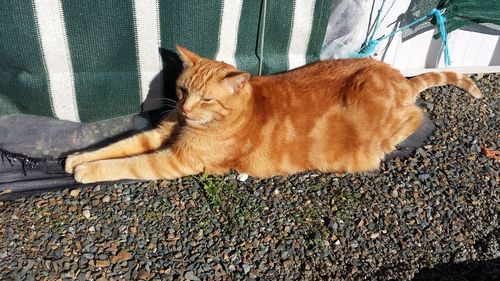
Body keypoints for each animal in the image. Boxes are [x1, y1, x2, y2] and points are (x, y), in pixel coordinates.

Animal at [64, 44, 482, 183]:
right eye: (182, 91)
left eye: (207, 100)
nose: (184, 107)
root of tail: (397, 76)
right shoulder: (158, 135)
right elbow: (116, 145)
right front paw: (76, 157)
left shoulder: (174, 160)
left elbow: (126, 163)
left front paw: (86, 171)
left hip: (386, 116)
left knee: (415, 118)